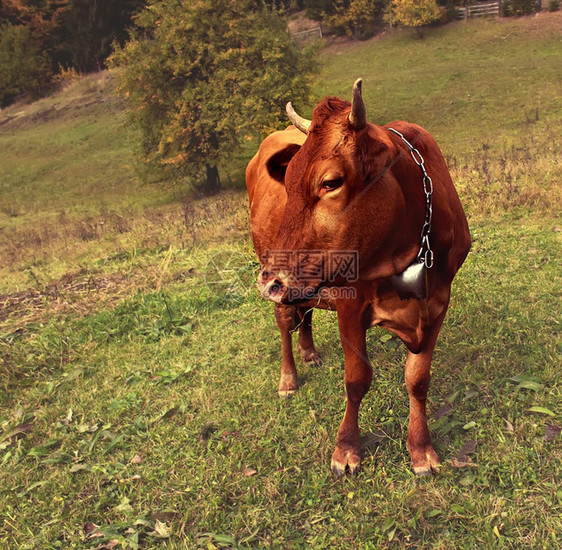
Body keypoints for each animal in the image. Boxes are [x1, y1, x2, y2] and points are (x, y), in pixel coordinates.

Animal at [245, 80, 468, 476]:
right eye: (288, 181)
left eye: (331, 182)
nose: (270, 281)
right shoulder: (350, 305)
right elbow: (356, 379)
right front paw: (346, 448)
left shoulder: (439, 301)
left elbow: (418, 380)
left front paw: (421, 448)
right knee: (286, 321)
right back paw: (289, 377)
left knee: (304, 311)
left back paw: (309, 352)